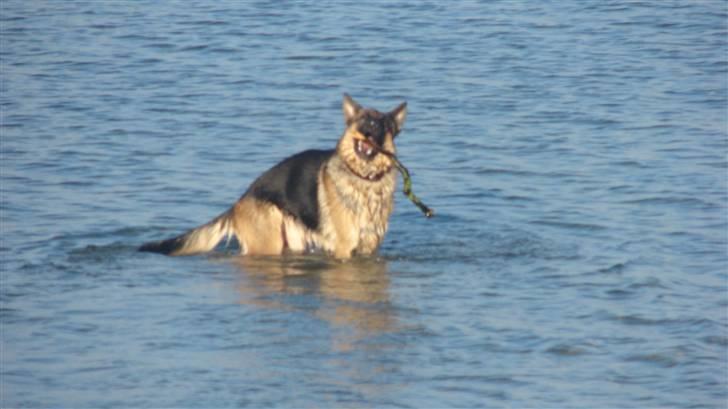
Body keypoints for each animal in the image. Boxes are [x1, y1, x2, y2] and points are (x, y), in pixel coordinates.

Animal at [139, 93, 406, 258]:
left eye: (382, 124)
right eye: (363, 120)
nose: (368, 131)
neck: (365, 178)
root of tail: (238, 202)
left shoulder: (369, 248)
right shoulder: (344, 248)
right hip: (269, 244)